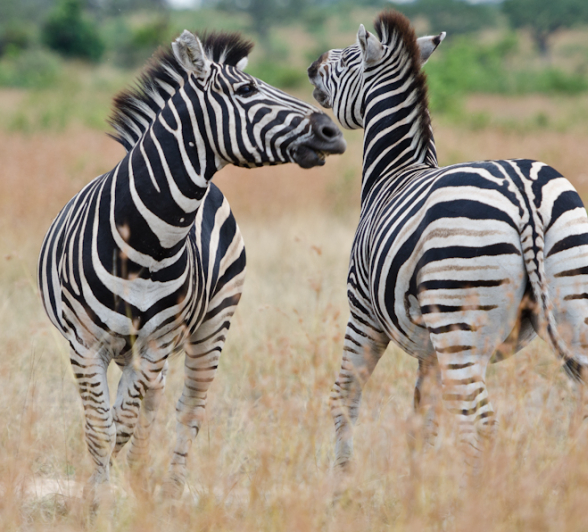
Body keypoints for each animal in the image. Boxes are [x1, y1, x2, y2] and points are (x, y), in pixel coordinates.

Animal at [38, 30, 344, 502]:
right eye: (246, 90)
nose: (332, 131)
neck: (145, 244)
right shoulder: (85, 345)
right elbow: (100, 427)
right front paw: (98, 495)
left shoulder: (154, 344)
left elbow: (122, 422)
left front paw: (113, 491)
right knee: (152, 403)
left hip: (212, 324)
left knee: (188, 408)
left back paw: (168, 489)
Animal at [306, 11, 588, 470]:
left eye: (348, 57)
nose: (312, 67)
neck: (394, 172)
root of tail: (522, 191)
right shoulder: (428, 349)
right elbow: (423, 418)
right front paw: (417, 480)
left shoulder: (362, 312)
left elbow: (345, 394)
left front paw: (342, 477)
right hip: (570, 300)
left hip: (460, 322)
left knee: (480, 420)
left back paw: (478, 490)